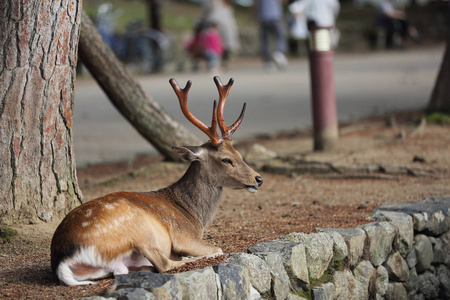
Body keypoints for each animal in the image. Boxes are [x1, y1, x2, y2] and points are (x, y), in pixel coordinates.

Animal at [49, 77, 262, 286]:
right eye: (226, 159)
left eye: (239, 154)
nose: (258, 179)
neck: (193, 215)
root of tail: (62, 260)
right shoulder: (184, 236)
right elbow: (217, 248)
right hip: (141, 229)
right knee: (165, 264)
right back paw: (184, 259)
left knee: (124, 270)